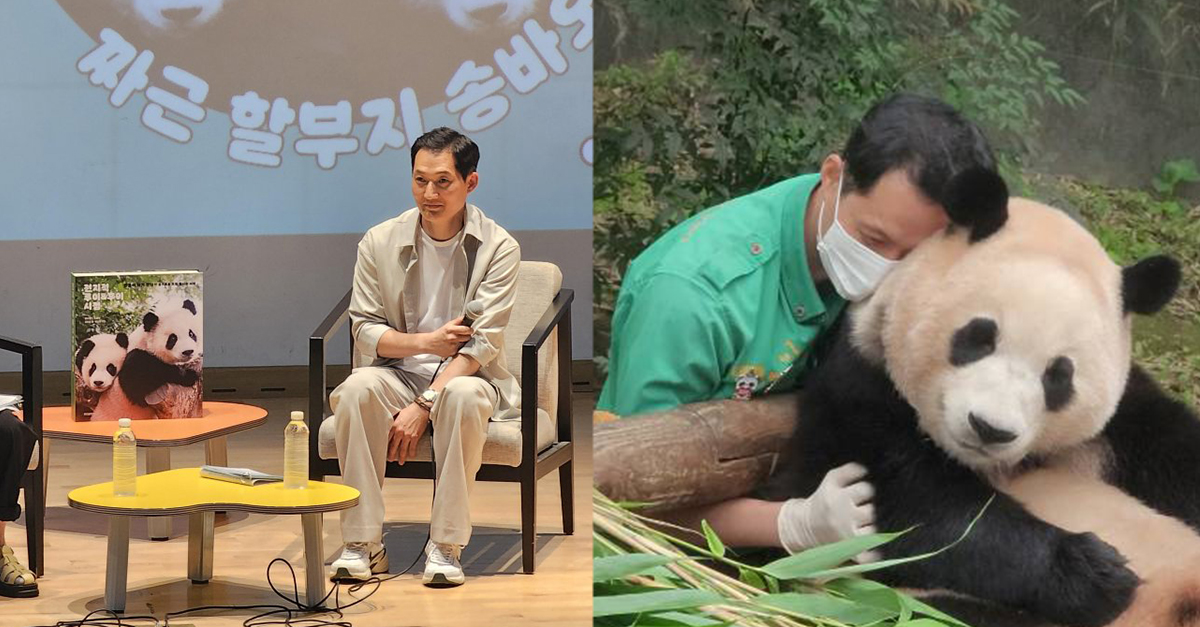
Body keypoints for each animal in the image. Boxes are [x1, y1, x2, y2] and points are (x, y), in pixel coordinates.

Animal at [763, 166, 1200, 624]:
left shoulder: (1125, 422)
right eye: (978, 338)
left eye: (1059, 376)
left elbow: (1174, 448)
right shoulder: (863, 389)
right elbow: (923, 511)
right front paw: (1092, 571)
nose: (990, 429)